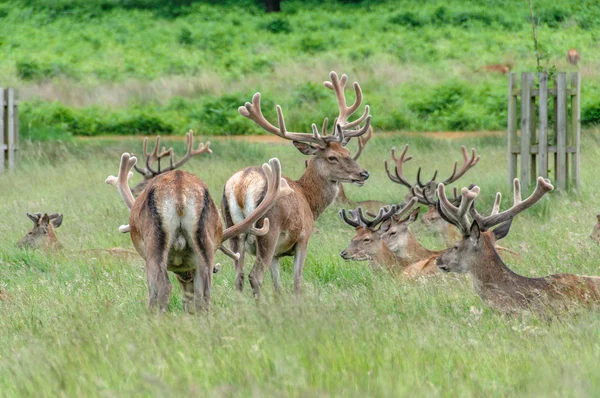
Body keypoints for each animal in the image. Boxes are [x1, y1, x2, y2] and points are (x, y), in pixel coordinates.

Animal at [108, 132, 296, 312]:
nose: (187, 302)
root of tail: (179, 189)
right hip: (203, 243)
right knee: (205, 294)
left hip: (155, 242)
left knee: (163, 288)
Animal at [221, 71, 368, 296]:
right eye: (332, 157)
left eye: (347, 152)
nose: (363, 174)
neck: (309, 200)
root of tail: (242, 185)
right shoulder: (303, 238)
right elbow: (297, 281)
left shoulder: (277, 254)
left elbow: (277, 285)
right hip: (268, 230)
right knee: (255, 276)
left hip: (233, 230)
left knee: (239, 277)